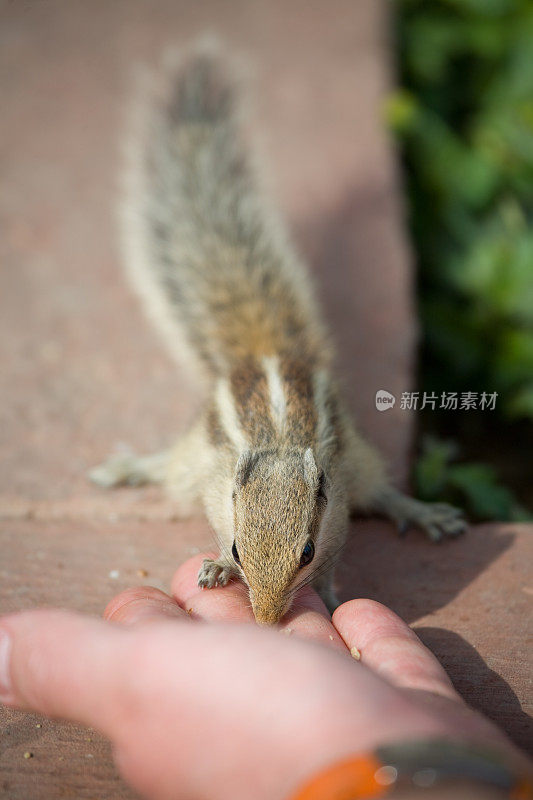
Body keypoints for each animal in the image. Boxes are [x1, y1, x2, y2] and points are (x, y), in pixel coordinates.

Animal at [88, 45, 466, 624]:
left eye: (306, 551)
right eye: (239, 547)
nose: (266, 618)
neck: (281, 445)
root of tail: (264, 350)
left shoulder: (337, 513)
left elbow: (339, 553)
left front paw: (328, 595)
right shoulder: (218, 491)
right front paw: (217, 567)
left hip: (360, 459)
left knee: (381, 492)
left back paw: (422, 512)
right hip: (194, 456)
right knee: (168, 467)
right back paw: (127, 468)